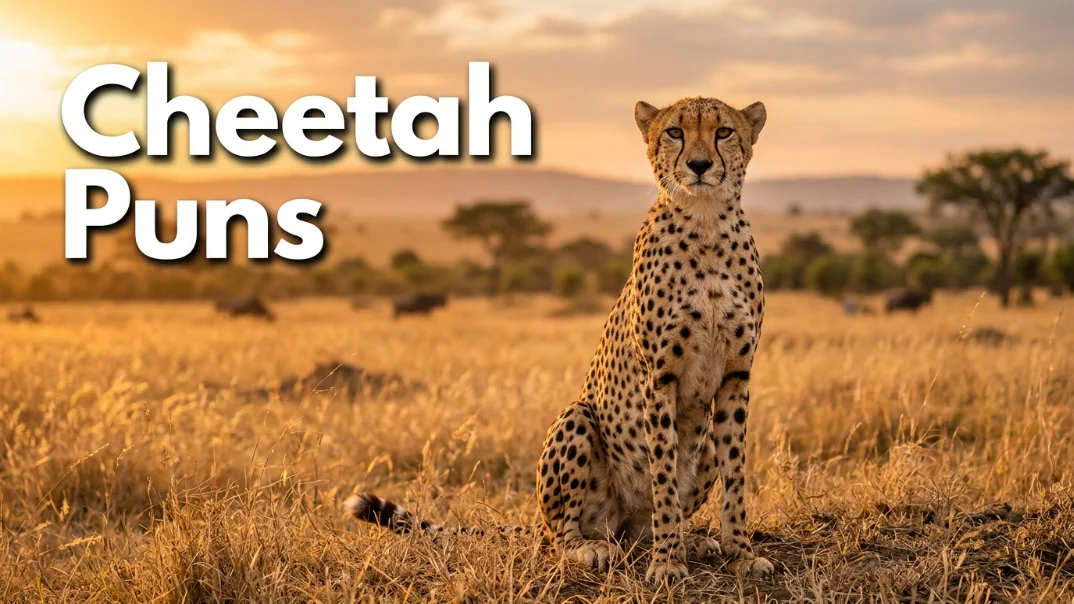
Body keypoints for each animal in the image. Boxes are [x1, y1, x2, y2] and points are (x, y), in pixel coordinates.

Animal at [344, 95, 773, 584]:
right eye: (675, 132)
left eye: (723, 132)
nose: (699, 165)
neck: (706, 225)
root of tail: (622, 524)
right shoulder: (658, 378)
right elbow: (663, 475)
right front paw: (668, 563)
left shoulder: (736, 376)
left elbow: (735, 474)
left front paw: (739, 552)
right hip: (579, 419)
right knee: (564, 533)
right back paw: (594, 549)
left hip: (696, 450)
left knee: (650, 521)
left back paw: (691, 541)